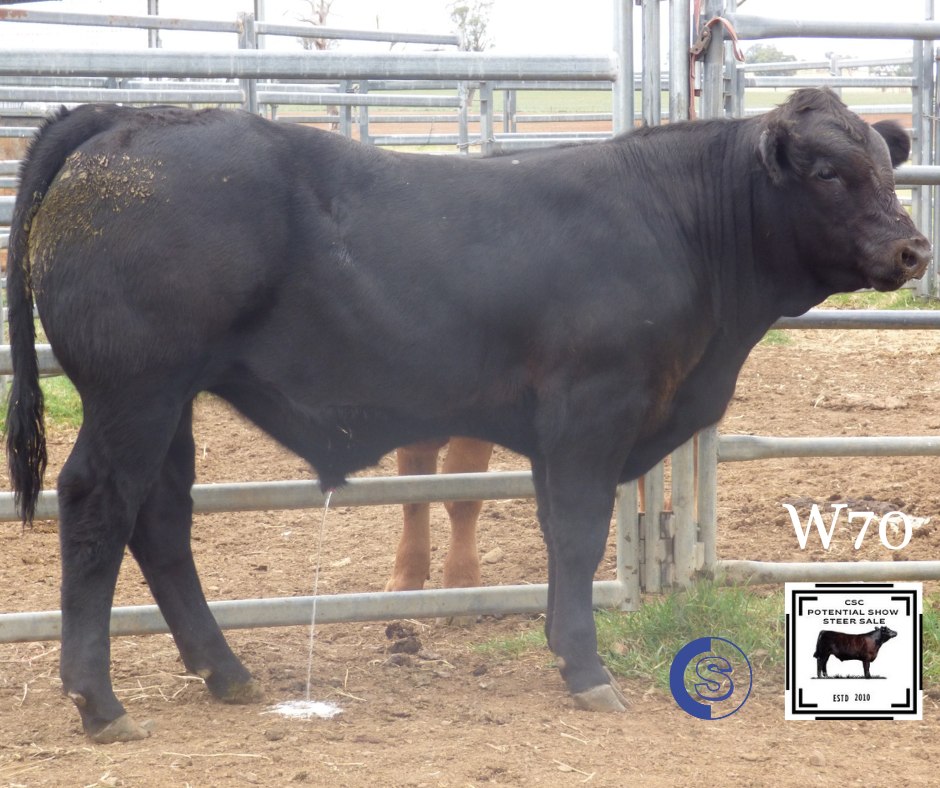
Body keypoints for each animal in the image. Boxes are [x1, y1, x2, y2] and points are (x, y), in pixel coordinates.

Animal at [5, 88, 928, 743]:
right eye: (827, 172)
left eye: (887, 169)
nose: (913, 248)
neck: (680, 224)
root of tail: (129, 117)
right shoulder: (591, 409)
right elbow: (577, 533)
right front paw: (586, 667)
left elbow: (557, 531)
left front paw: (564, 649)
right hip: (136, 392)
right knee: (98, 505)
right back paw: (99, 701)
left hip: (171, 401)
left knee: (160, 518)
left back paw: (225, 671)